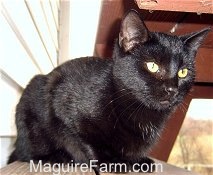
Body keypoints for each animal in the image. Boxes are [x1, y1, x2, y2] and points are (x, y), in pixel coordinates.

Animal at [7, 10, 210, 174]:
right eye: (153, 66)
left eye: (183, 72)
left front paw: (137, 160)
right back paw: (56, 157)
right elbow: (86, 139)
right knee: (29, 153)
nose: (172, 89)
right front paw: (110, 161)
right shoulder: (62, 104)